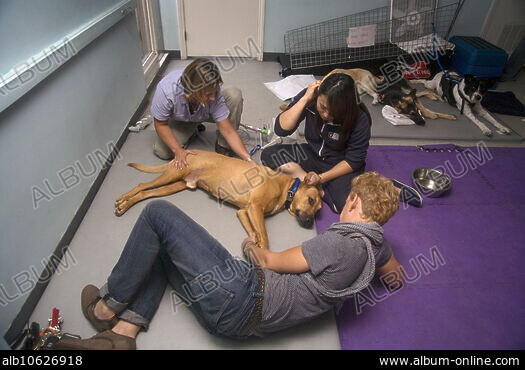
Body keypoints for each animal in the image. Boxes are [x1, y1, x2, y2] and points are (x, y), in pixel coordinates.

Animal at [114, 150, 322, 249]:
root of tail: (184, 152)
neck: (287, 189)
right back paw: (122, 201)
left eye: (319, 210)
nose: (310, 224)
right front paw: (264, 254)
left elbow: (254, 232)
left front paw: (254, 246)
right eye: (311, 200)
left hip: (175, 185)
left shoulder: (244, 211)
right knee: (142, 185)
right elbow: (265, 237)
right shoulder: (255, 208)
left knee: (145, 193)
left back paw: (125, 205)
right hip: (171, 176)